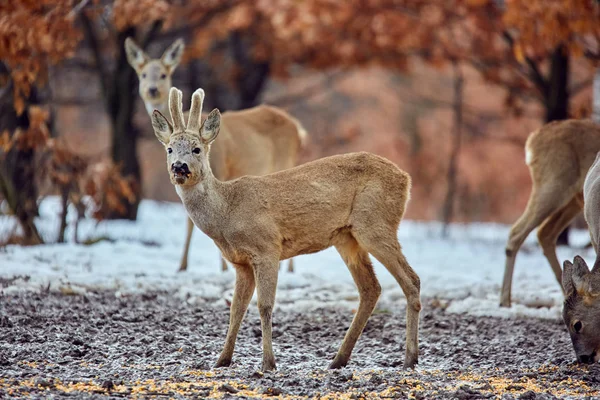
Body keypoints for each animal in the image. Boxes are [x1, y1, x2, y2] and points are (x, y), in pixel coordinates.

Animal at [125, 37, 308, 274]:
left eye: (164, 74)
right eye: (143, 74)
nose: (152, 89)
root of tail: (298, 127)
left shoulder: (220, 167)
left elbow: (194, 221)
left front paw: (221, 267)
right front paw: (182, 266)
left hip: (285, 160)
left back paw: (291, 268)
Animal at [150, 87, 422, 372]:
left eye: (197, 149)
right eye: (169, 149)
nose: (179, 167)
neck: (228, 212)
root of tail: (406, 179)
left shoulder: (267, 248)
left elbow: (265, 305)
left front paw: (268, 363)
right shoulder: (240, 263)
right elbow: (236, 309)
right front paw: (222, 360)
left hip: (376, 224)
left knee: (411, 280)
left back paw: (409, 358)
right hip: (347, 238)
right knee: (371, 288)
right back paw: (338, 359)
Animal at [500, 119, 600, 306]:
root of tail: (533, 139)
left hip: (572, 201)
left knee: (545, 233)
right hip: (552, 184)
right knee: (517, 232)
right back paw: (504, 301)